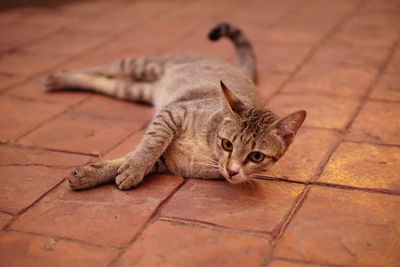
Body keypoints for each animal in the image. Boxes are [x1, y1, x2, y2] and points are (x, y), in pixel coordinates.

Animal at [44, 22, 306, 191]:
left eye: (256, 156)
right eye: (227, 144)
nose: (232, 171)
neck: (206, 149)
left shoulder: (167, 161)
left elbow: (129, 158)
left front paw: (97, 173)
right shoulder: (172, 113)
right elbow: (149, 145)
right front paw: (132, 169)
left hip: (134, 90)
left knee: (104, 81)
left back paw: (59, 80)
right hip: (145, 65)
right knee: (104, 67)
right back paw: (57, 77)